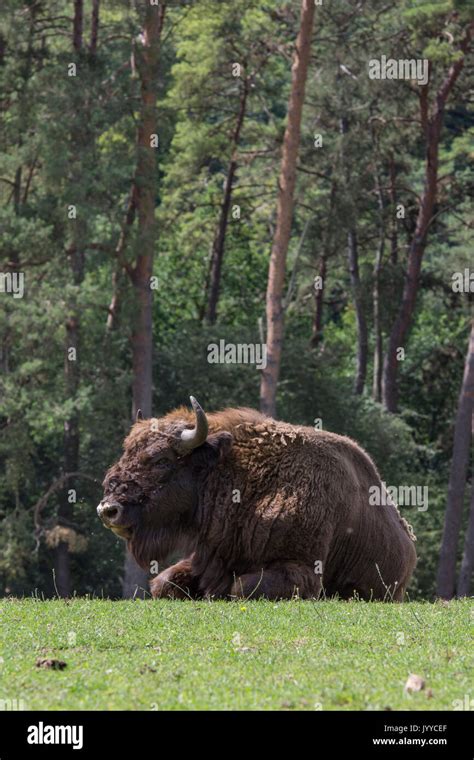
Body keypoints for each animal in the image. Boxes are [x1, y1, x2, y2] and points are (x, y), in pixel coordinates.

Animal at [98, 398, 416, 600]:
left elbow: (241, 588)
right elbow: (162, 584)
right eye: (126, 452)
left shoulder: (301, 570)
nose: (108, 509)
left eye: (162, 460)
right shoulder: (206, 556)